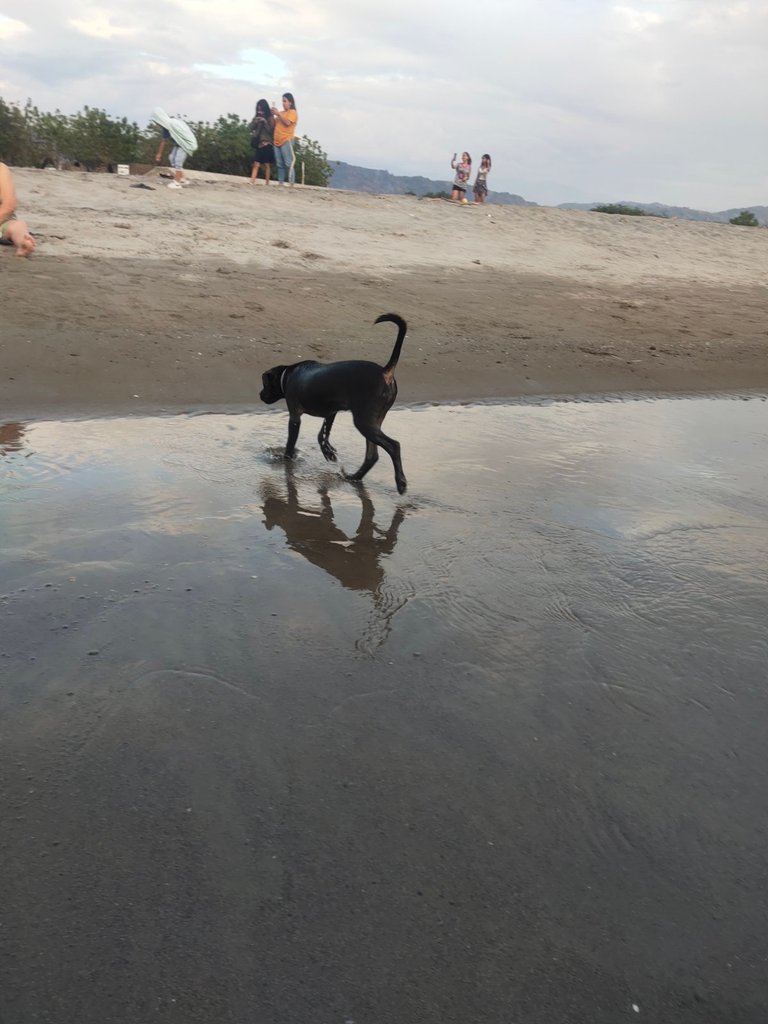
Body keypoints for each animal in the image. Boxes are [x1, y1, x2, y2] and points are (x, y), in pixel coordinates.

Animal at [262, 313, 409, 493]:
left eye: (265, 384)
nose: (260, 395)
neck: (287, 376)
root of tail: (385, 372)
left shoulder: (295, 416)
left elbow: (291, 442)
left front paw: (286, 459)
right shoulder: (331, 412)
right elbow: (322, 435)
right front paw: (328, 452)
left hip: (364, 421)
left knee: (394, 446)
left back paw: (400, 482)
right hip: (373, 421)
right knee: (372, 456)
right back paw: (354, 477)